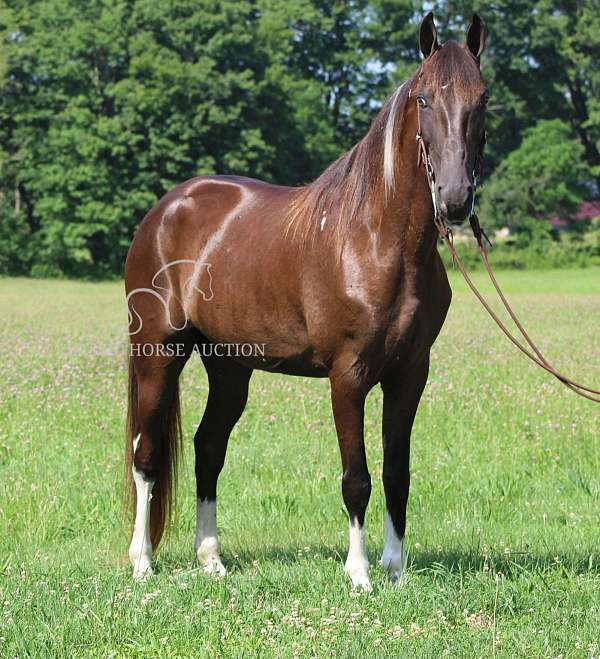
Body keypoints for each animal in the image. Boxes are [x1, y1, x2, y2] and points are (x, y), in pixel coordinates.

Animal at [124, 12, 488, 590]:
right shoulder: (348, 374)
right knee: (147, 454)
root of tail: (164, 211)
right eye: (424, 98)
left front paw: (396, 571)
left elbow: (397, 473)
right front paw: (359, 574)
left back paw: (212, 560)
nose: (454, 200)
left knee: (208, 450)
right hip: (158, 353)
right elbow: (357, 476)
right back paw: (142, 562)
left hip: (229, 367)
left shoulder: (410, 373)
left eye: (483, 99)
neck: (376, 238)